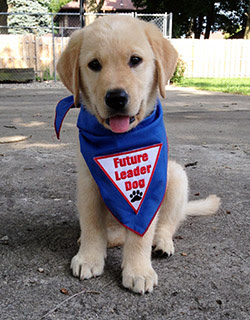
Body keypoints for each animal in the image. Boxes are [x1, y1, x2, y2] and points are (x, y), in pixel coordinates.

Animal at [56, 16, 219, 294]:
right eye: (94, 65)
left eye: (135, 60)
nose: (116, 97)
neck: (120, 141)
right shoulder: (88, 183)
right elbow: (91, 223)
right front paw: (89, 257)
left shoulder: (148, 190)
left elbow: (142, 234)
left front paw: (139, 271)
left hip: (175, 175)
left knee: (166, 225)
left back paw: (162, 244)